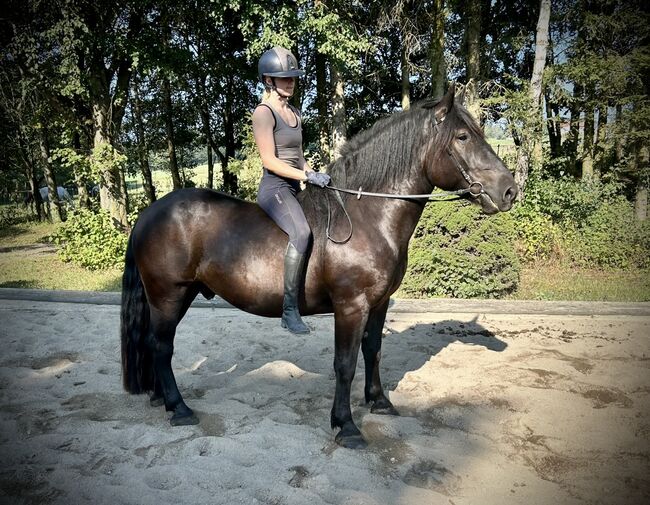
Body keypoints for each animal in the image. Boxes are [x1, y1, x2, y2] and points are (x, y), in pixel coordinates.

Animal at [121, 84, 516, 446]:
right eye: (463, 137)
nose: (510, 190)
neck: (369, 215)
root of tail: (149, 214)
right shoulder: (351, 306)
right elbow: (345, 364)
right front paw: (346, 426)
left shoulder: (380, 303)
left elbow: (373, 351)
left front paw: (379, 401)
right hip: (168, 295)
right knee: (161, 346)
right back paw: (179, 408)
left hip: (176, 296)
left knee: (155, 345)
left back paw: (162, 400)